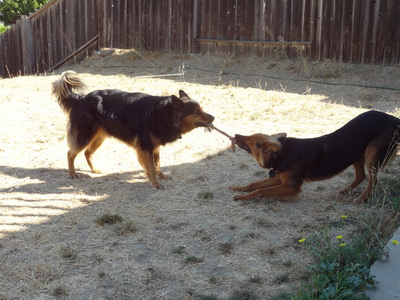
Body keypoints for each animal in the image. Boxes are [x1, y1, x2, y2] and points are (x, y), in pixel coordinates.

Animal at [53, 71, 216, 188]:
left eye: (202, 109)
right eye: (196, 112)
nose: (213, 118)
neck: (164, 114)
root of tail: (81, 98)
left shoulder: (154, 147)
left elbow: (157, 165)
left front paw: (161, 176)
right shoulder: (146, 147)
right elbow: (151, 167)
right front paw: (156, 183)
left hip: (99, 137)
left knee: (87, 153)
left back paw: (95, 170)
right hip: (85, 136)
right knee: (70, 153)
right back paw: (72, 173)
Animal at [230, 110, 400, 204]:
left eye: (250, 140)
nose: (235, 134)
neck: (283, 154)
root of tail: (394, 119)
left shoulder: (291, 186)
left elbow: (260, 191)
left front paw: (242, 197)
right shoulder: (279, 179)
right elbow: (253, 184)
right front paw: (238, 188)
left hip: (371, 154)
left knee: (373, 180)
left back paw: (362, 198)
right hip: (356, 154)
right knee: (360, 176)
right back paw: (345, 191)